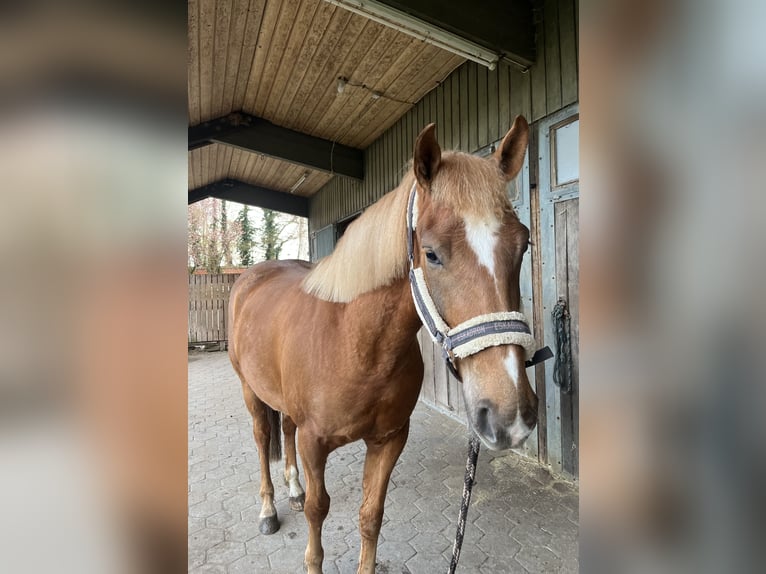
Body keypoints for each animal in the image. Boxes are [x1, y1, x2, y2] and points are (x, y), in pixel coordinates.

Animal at [227, 116, 538, 574]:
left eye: (524, 243)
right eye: (431, 253)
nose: (508, 415)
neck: (355, 344)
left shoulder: (389, 439)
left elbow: (371, 515)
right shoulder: (313, 443)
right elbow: (318, 512)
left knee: (283, 428)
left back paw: (293, 488)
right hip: (250, 391)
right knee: (261, 437)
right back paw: (268, 510)